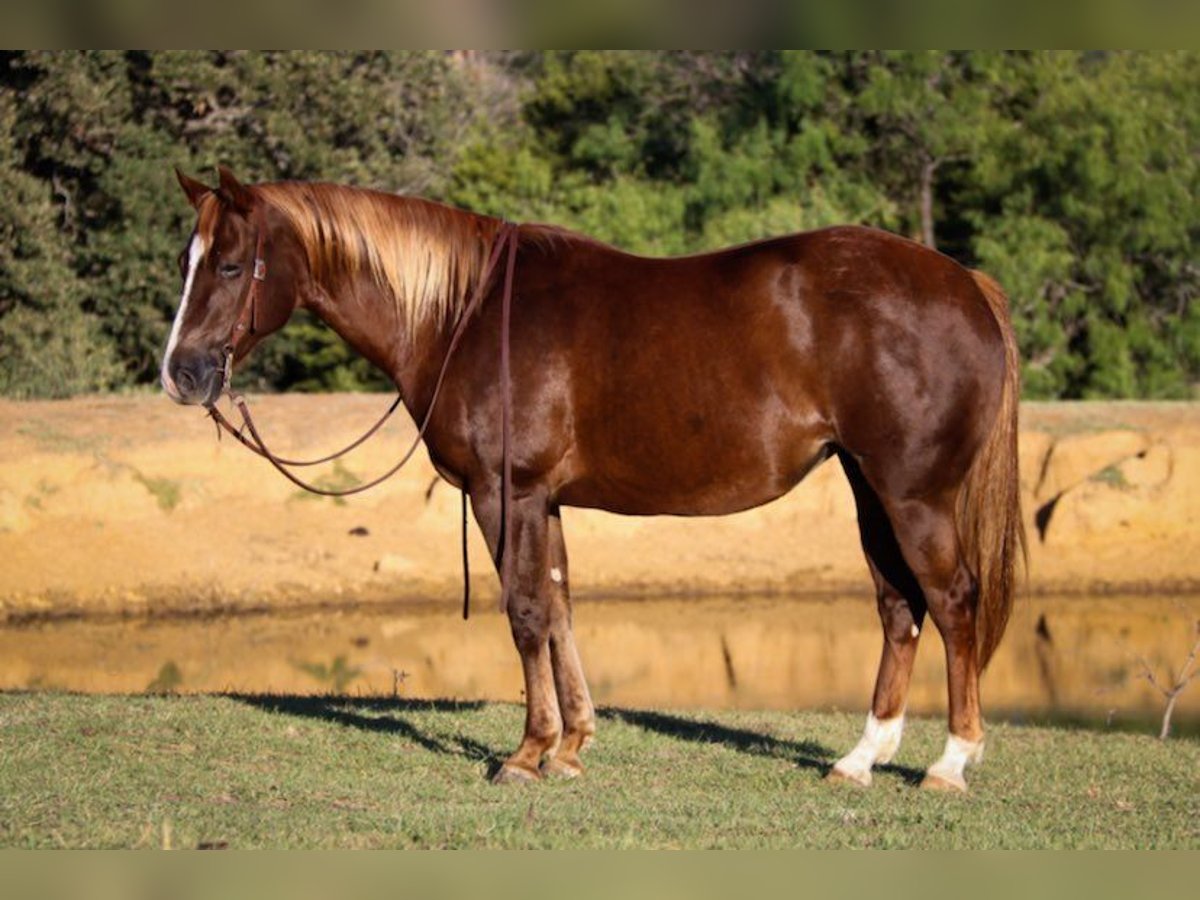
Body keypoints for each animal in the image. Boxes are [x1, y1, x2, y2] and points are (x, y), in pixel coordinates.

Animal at [162, 168, 1022, 787]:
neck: (463, 313)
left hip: (912, 495)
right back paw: (860, 759)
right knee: (899, 607)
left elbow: (524, 613)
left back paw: (950, 762)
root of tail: (967, 285)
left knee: (951, 601)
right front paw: (572, 744)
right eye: (187, 262)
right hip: (869, 488)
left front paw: (527, 753)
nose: (180, 375)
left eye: (231, 264)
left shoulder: (505, 492)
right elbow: (560, 605)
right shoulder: (544, 501)